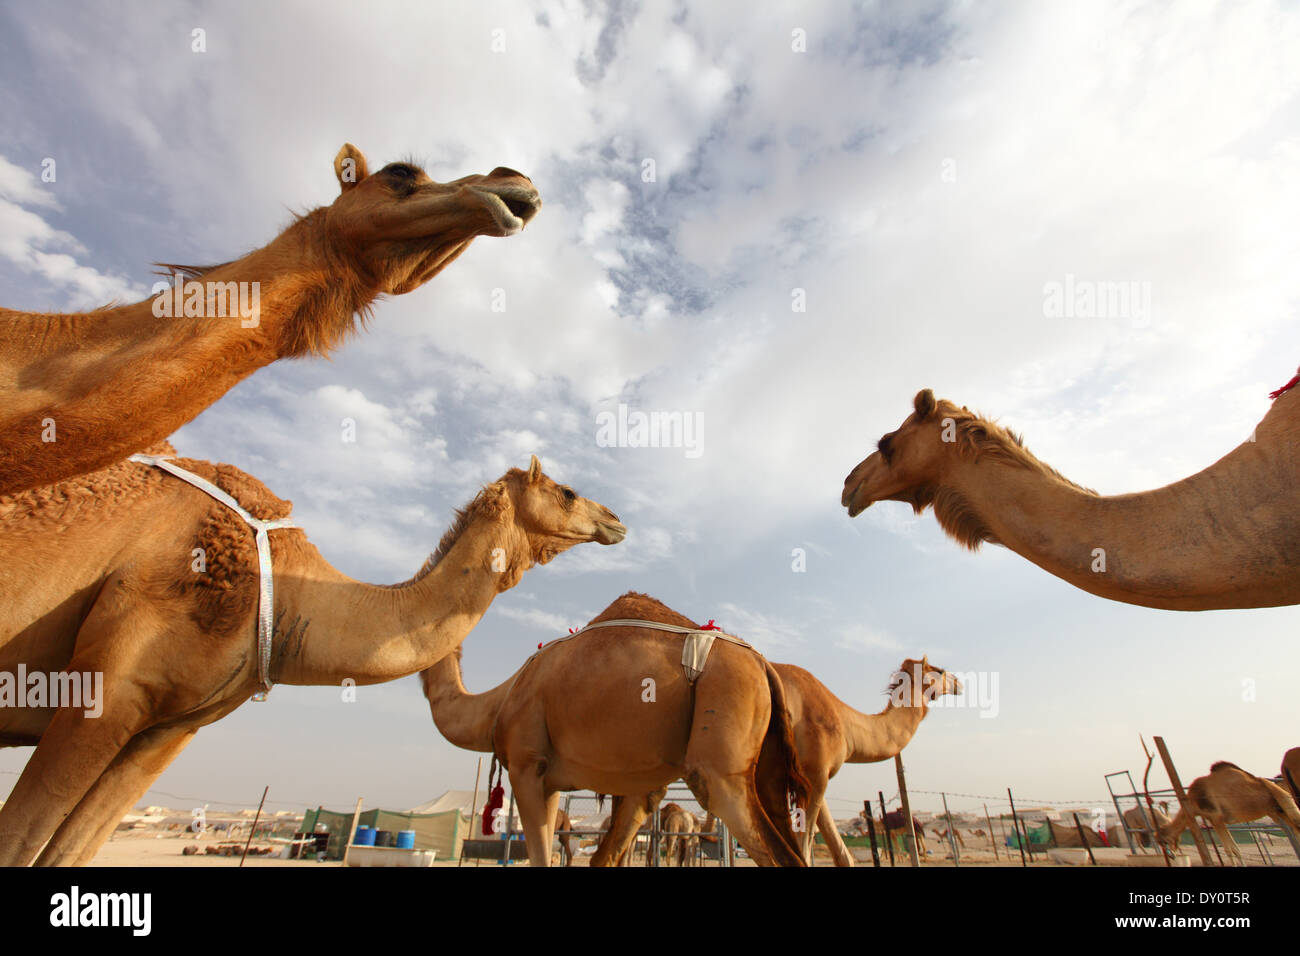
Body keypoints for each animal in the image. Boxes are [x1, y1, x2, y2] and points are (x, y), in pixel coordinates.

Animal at [0, 452, 624, 863]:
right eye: (568, 492)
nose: (615, 519)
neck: (288, 590)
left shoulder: (168, 729)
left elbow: (70, 850)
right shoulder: (109, 685)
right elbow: (21, 840)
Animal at [423, 590, 811, 868]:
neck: (499, 702)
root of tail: (762, 664)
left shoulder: (528, 765)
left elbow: (544, 855)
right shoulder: (630, 783)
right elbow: (604, 854)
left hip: (720, 761)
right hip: (767, 768)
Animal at [1159, 764, 1300, 868]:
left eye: (1164, 841)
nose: (1171, 856)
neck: (1191, 801)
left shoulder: (1216, 817)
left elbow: (1229, 850)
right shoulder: (1214, 820)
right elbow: (1235, 849)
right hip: (1277, 811)